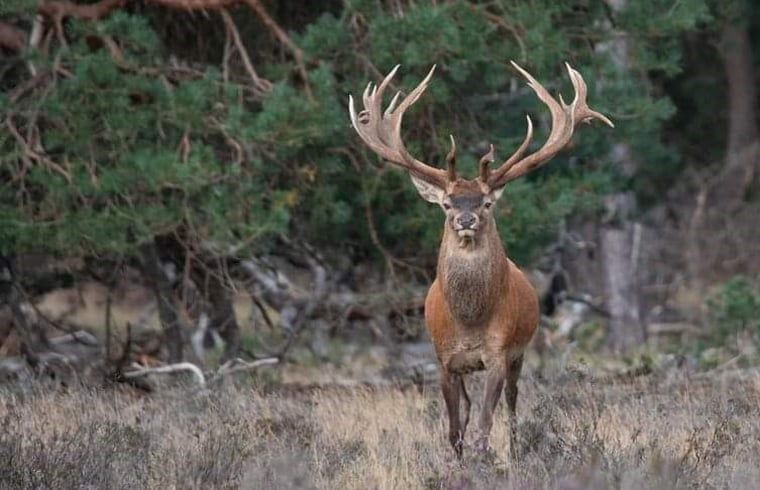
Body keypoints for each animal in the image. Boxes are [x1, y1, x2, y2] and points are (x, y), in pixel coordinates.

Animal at [348, 61, 613, 458]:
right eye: (446, 203)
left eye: (486, 202)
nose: (466, 219)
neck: (469, 320)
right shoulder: (443, 359)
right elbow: (454, 429)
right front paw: (457, 461)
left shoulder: (498, 354)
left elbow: (487, 423)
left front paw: (484, 457)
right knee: (470, 408)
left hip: (520, 353)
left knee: (513, 405)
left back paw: (516, 451)